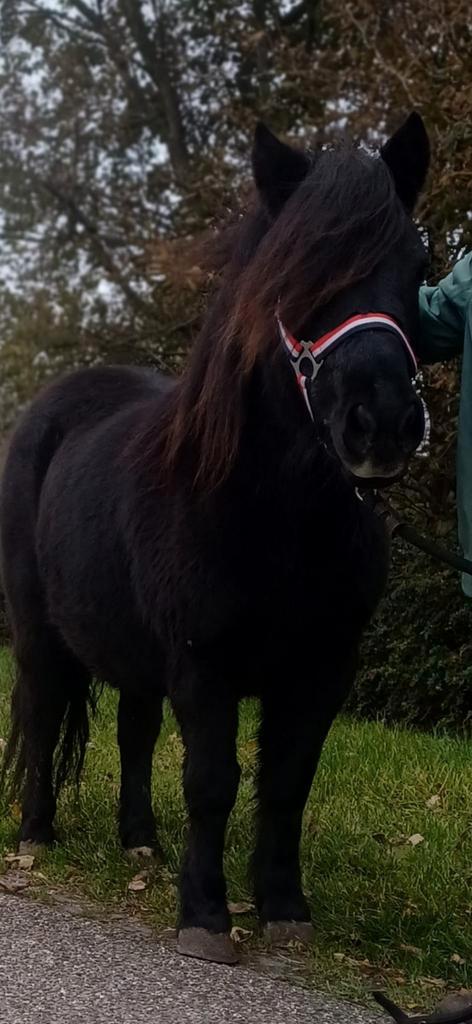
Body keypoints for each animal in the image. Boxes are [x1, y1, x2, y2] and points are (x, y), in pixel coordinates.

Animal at [0, 112, 430, 965]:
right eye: (295, 279)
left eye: (421, 265)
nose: (383, 423)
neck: (276, 518)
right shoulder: (205, 663)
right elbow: (212, 781)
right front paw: (204, 915)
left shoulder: (323, 670)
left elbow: (287, 781)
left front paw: (284, 908)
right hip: (39, 635)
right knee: (41, 712)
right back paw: (36, 837)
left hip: (133, 651)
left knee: (134, 733)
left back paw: (140, 842)